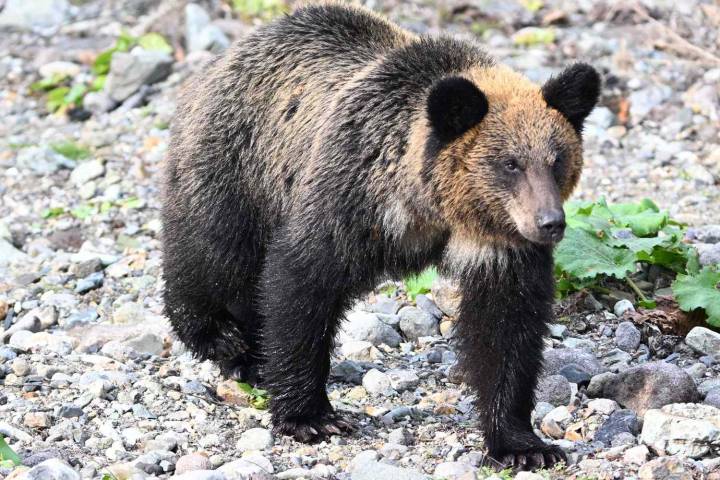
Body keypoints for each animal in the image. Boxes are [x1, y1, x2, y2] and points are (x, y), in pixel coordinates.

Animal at [161, 3, 600, 470]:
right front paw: (310, 415)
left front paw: (522, 444)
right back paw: (222, 338)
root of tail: (220, 61)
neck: (431, 209)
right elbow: (301, 284)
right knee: (215, 251)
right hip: (238, 165)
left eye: (557, 159)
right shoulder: (349, 197)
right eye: (510, 163)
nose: (550, 222)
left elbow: (507, 330)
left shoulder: (500, 246)